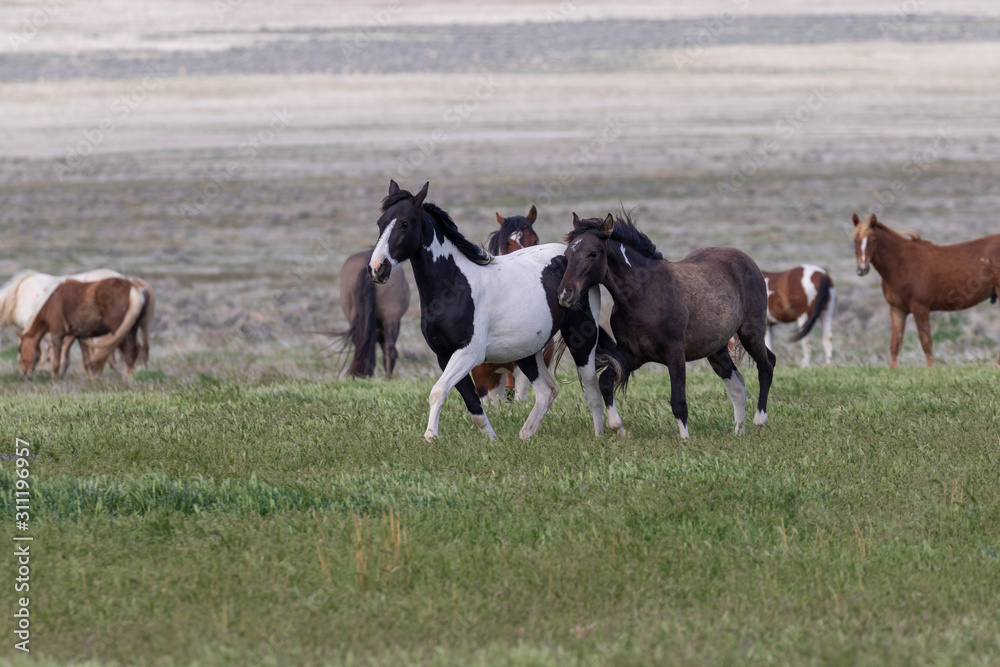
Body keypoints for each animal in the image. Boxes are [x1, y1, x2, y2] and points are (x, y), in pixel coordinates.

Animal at [368, 183, 624, 444]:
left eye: (405, 223)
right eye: (380, 223)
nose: (377, 268)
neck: (454, 286)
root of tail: (569, 255)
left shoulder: (468, 353)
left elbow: (438, 391)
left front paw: (431, 437)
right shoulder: (445, 356)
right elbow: (473, 404)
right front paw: (492, 440)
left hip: (582, 340)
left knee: (591, 389)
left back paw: (600, 436)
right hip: (527, 351)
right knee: (547, 391)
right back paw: (525, 435)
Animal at [560, 214, 776, 440]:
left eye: (592, 253)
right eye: (567, 254)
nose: (565, 294)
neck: (643, 294)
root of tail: (747, 259)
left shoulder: (675, 352)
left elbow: (678, 400)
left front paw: (685, 439)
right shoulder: (632, 355)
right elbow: (605, 381)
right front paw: (618, 427)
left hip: (750, 332)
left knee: (767, 364)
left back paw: (760, 421)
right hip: (716, 349)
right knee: (737, 384)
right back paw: (739, 430)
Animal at [852, 213, 1000, 368]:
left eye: (874, 239)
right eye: (855, 239)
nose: (862, 269)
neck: (901, 263)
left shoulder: (920, 308)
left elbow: (926, 342)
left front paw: (931, 370)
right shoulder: (897, 309)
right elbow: (895, 343)